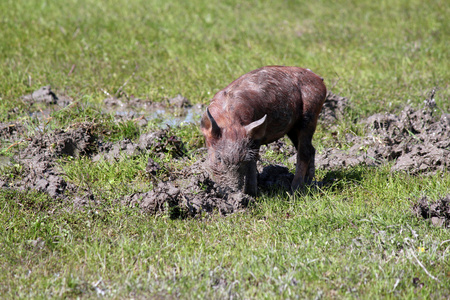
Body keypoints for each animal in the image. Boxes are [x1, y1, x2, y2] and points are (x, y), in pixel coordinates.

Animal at [200, 65, 326, 196]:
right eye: (219, 158)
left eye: (243, 160)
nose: (234, 192)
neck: (229, 119)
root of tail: (318, 78)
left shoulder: (255, 137)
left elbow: (253, 161)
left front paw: (251, 195)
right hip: (293, 127)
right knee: (311, 149)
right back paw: (309, 184)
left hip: (310, 115)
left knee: (304, 152)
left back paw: (294, 192)